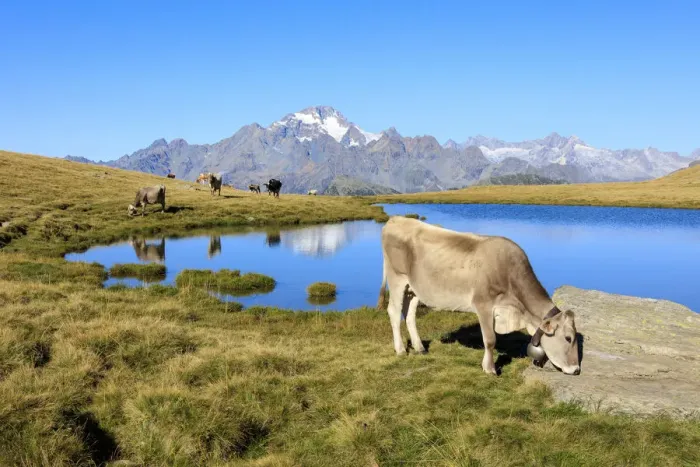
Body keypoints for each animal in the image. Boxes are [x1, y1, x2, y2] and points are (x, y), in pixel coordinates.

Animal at [377, 216, 580, 376]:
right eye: (568, 338)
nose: (576, 369)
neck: (518, 312)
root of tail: (395, 220)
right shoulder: (483, 304)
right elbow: (490, 340)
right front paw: (490, 369)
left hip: (414, 288)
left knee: (409, 314)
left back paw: (419, 348)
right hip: (396, 278)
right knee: (393, 311)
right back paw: (401, 350)